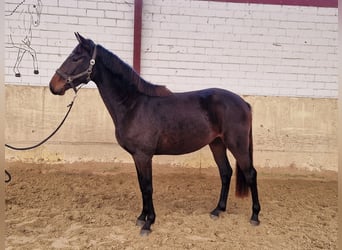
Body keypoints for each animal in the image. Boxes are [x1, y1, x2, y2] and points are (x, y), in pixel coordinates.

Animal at [49, 33, 260, 236]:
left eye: (76, 58)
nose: (53, 85)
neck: (133, 105)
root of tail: (244, 103)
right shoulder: (137, 156)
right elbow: (142, 186)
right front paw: (141, 217)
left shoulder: (144, 156)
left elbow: (148, 187)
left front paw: (148, 223)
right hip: (216, 143)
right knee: (225, 172)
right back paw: (218, 210)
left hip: (236, 145)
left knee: (250, 173)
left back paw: (255, 216)